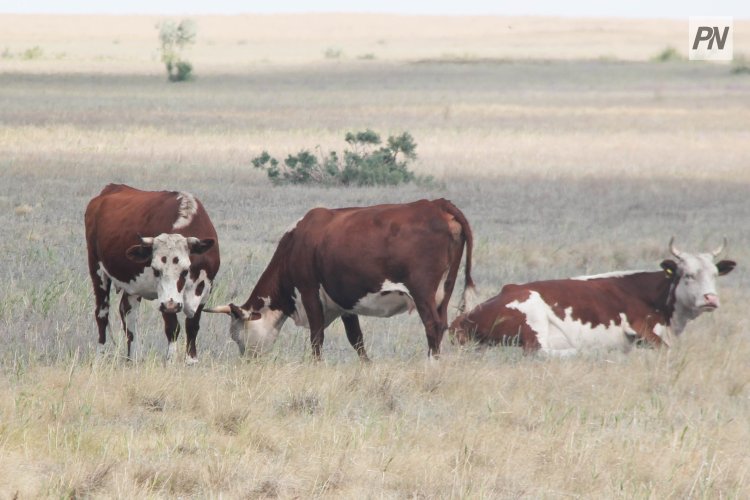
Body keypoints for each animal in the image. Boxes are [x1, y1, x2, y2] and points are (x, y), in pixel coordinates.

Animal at [86, 184, 220, 364]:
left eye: (185, 270)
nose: (171, 306)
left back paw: (133, 357)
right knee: (102, 314)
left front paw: (191, 360)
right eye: (156, 270)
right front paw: (171, 360)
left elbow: (192, 326)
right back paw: (100, 356)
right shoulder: (164, 298)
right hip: (98, 272)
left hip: (132, 287)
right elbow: (173, 328)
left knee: (128, 313)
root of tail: (111, 188)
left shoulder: (205, 290)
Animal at [206, 199, 476, 360]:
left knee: (432, 326)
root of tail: (437, 204)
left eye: (236, 336)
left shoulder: (309, 292)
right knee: (442, 325)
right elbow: (356, 339)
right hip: (445, 290)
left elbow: (317, 337)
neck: (295, 242)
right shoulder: (345, 304)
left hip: (422, 292)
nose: (247, 361)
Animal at [450, 238, 736, 356]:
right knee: (540, 352)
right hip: (534, 319)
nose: (710, 299)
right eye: (687, 274)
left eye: (714, 274)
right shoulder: (643, 330)